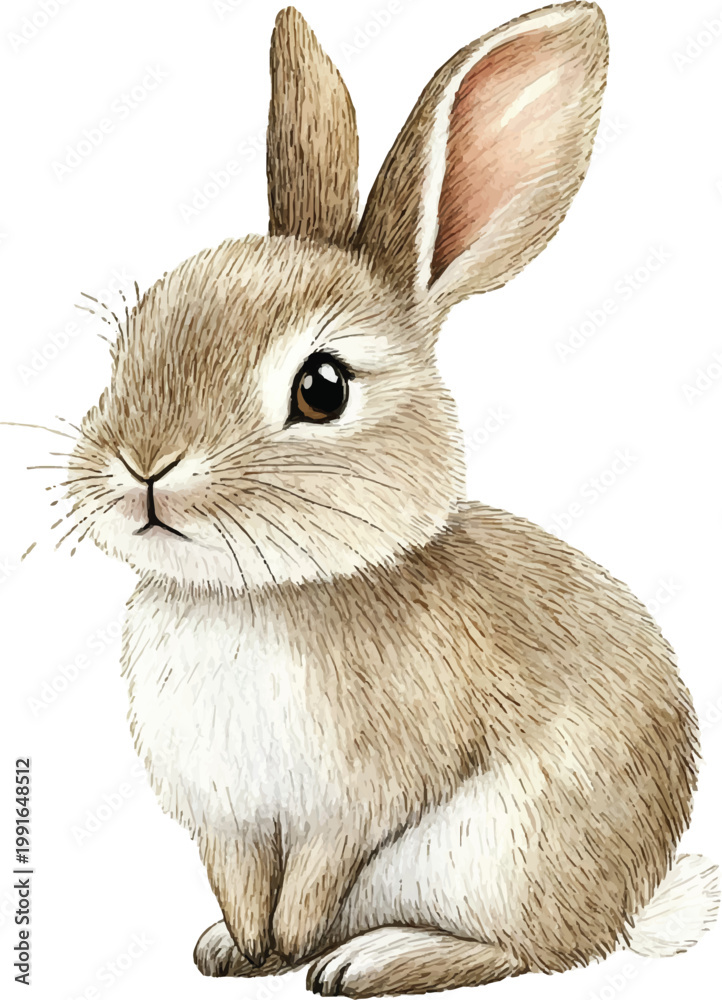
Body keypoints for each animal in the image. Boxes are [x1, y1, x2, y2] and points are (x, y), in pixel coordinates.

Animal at [59, 2, 719, 996]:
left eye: (322, 389)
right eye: (129, 344)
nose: (143, 464)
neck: (262, 595)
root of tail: (632, 909)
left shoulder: (358, 802)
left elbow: (316, 872)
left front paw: (286, 948)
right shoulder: (225, 819)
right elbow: (237, 879)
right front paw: (237, 950)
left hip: (497, 854)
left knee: (524, 951)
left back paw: (370, 959)